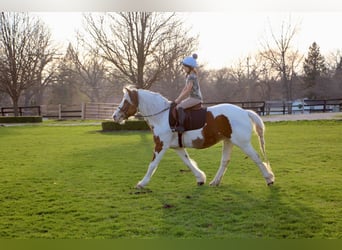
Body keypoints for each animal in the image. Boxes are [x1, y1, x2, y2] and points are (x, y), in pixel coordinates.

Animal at [113, 85, 276, 188]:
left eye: (126, 101)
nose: (115, 116)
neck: (162, 116)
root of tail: (244, 112)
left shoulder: (161, 145)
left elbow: (152, 164)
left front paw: (142, 183)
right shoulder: (177, 147)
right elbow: (188, 162)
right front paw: (200, 178)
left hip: (242, 143)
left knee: (256, 158)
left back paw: (269, 179)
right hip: (228, 141)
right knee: (225, 161)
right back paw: (215, 182)